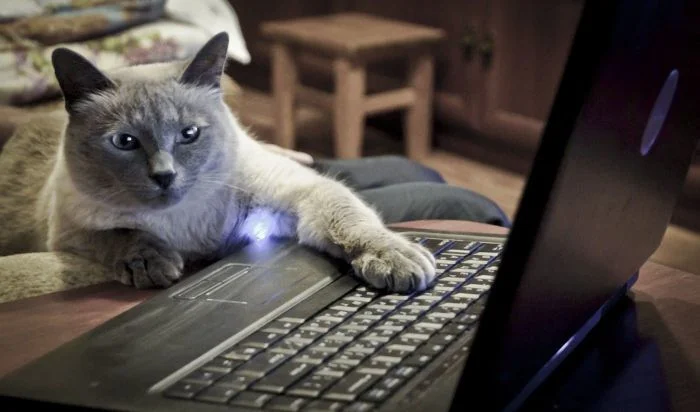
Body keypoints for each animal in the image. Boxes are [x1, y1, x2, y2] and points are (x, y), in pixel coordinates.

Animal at [0, 32, 436, 293]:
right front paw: (156, 265)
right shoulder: (69, 234)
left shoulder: (299, 194)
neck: (186, 225)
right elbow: (122, 235)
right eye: (125, 142)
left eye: (189, 134)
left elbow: (351, 221)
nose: (164, 176)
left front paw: (398, 262)